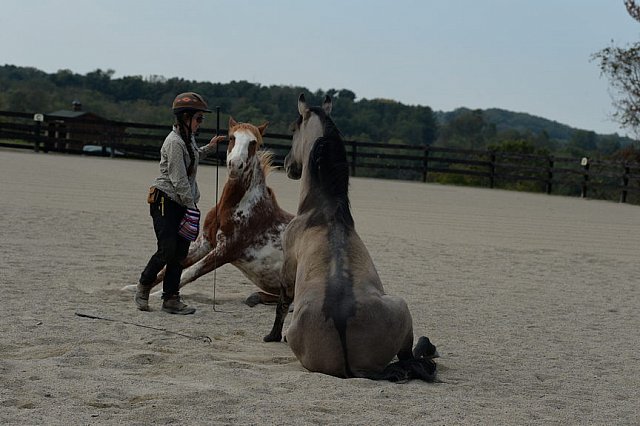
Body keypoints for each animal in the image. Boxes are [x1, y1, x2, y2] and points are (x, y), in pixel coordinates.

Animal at [122, 119, 292, 306]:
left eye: (254, 143)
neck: (238, 206)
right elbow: (170, 267)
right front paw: (133, 288)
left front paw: (157, 295)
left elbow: (190, 272)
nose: (235, 165)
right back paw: (255, 297)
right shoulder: (205, 242)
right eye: (231, 137)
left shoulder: (226, 250)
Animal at [264, 95, 440, 382]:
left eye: (293, 129)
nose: (288, 165)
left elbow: (281, 304)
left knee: (409, 356)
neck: (323, 211)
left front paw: (271, 336)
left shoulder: (287, 268)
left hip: (402, 307)